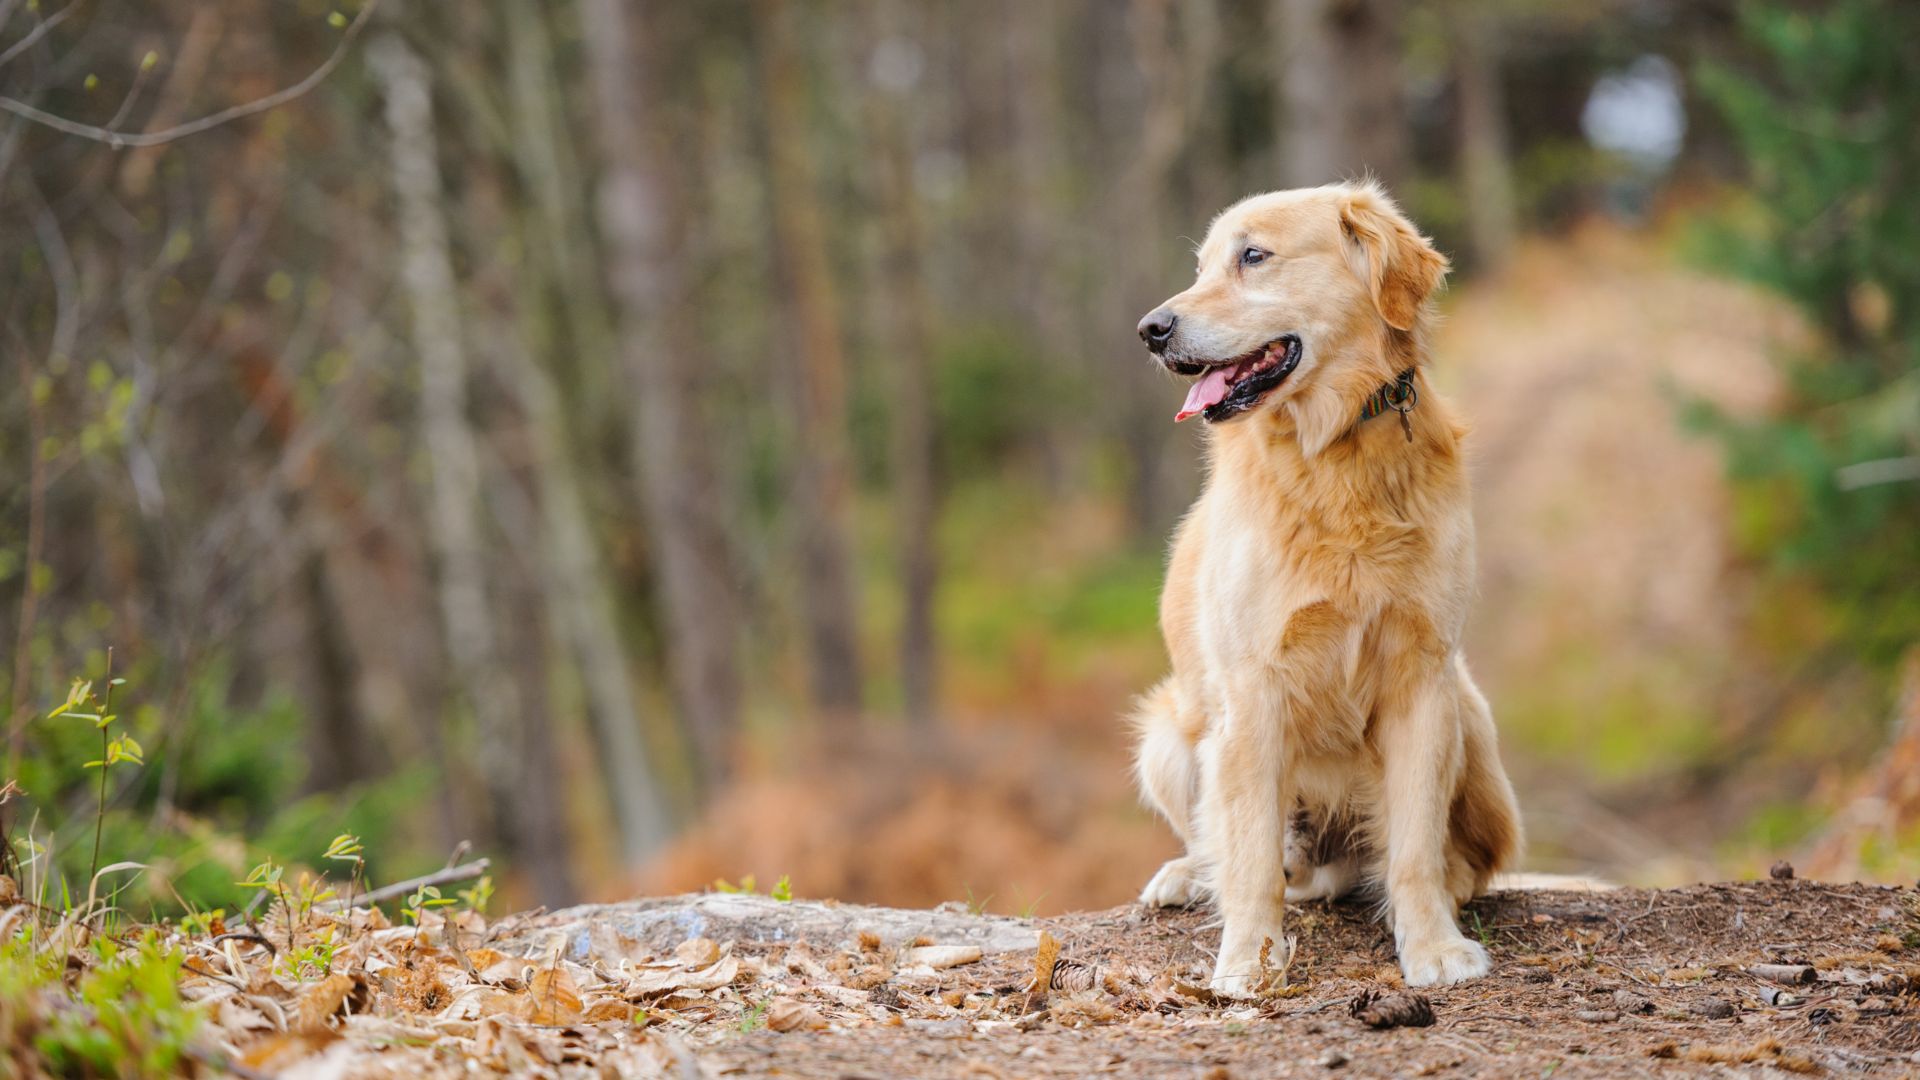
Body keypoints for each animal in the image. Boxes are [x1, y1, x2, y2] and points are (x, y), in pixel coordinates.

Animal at [1121, 178, 1512, 991]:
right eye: (1202, 267)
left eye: (1253, 256)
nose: (1151, 329)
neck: (1335, 450)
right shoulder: (1250, 690)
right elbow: (1249, 858)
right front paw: (1249, 959)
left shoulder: (1422, 676)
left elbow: (1416, 846)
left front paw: (1433, 945)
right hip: (1171, 732)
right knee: (1233, 845)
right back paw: (1190, 875)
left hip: (1469, 713)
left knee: (1457, 861)